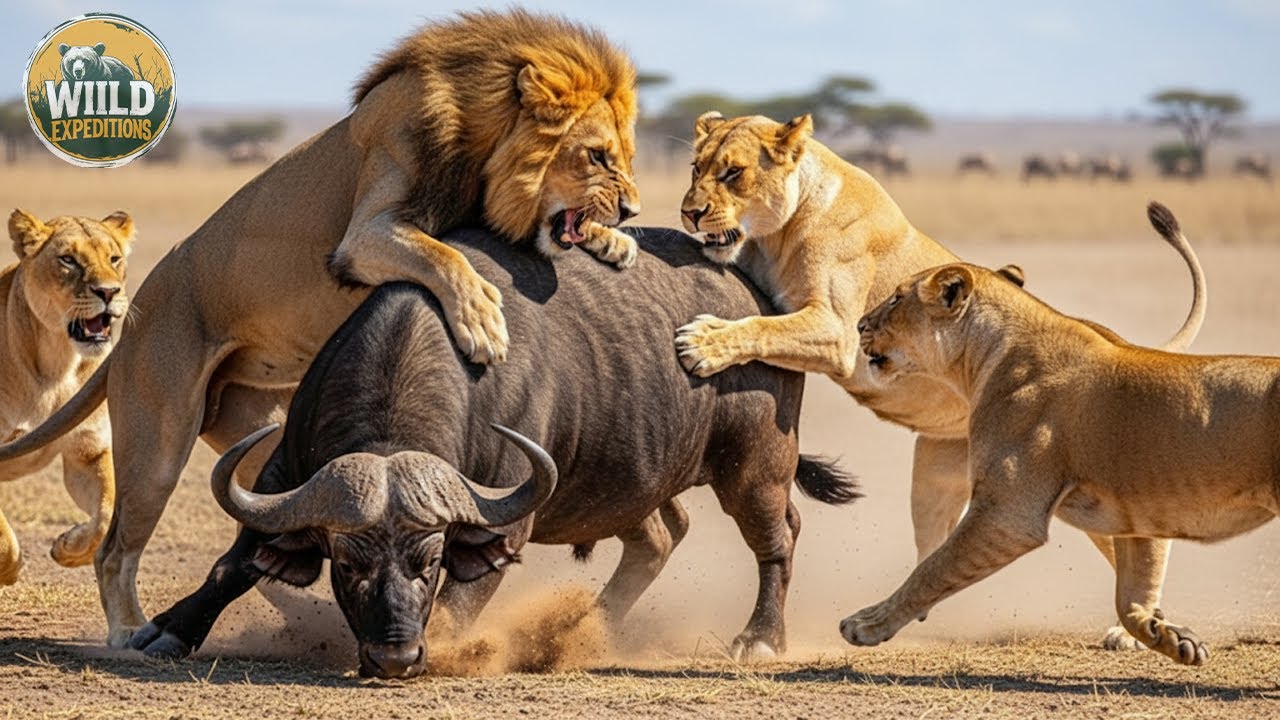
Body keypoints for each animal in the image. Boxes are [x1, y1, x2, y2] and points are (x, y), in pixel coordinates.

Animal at [0, 209, 132, 585]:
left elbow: (106, 513)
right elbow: (4, 538)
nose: (109, 292)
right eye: (68, 260)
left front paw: (69, 549)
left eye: (114, 259)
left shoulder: (87, 450)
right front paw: (8, 570)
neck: (57, 365)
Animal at [673, 113, 1206, 649]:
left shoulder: (838, 331)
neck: (775, 236)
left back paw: (1134, 631)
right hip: (934, 474)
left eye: (733, 173)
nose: (690, 214)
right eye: (696, 168)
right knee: (934, 546)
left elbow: (762, 327)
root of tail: (1118, 342)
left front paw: (705, 343)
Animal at [843, 207, 1274, 666]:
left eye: (896, 298)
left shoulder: (1009, 513)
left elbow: (932, 569)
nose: (860, 324)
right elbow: (1131, 598)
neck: (985, 357)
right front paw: (1169, 637)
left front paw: (867, 623)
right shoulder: (1137, 514)